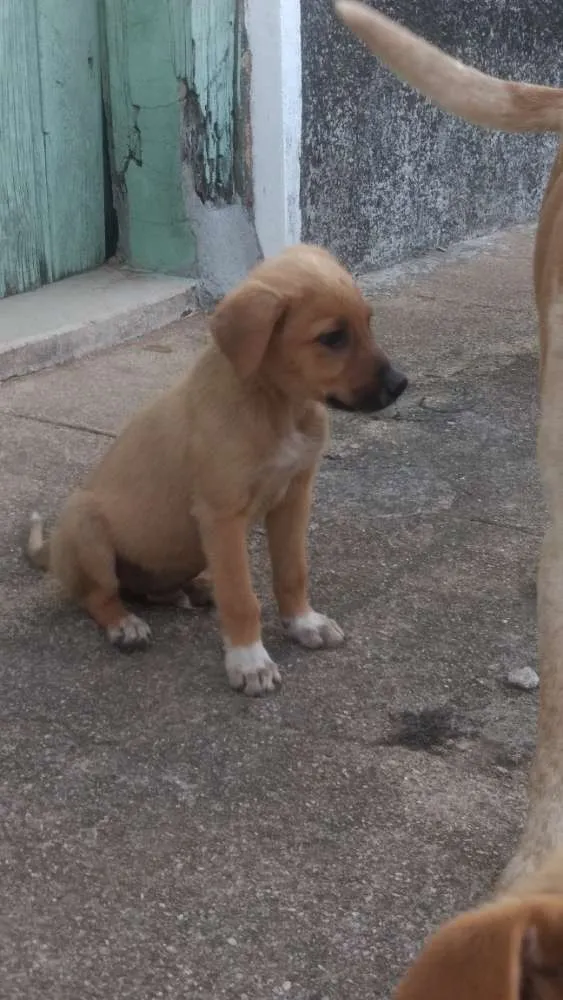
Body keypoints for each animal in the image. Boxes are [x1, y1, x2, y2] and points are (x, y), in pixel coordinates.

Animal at [28, 242, 408, 696]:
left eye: (369, 322)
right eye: (332, 338)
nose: (401, 385)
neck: (277, 405)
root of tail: (51, 549)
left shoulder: (294, 497)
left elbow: (292, 570)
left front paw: (303, 623)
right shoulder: (222, 516)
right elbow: (241, 597)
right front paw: (249, 660)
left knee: (152, 590)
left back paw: (191, 590)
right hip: (84, 523)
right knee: (100, 595)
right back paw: (124, 625)